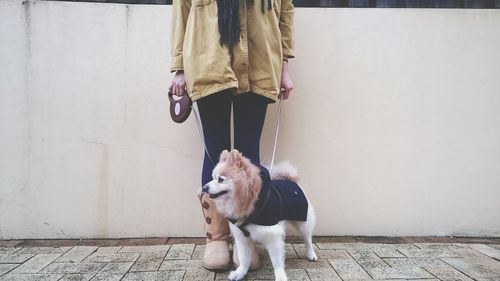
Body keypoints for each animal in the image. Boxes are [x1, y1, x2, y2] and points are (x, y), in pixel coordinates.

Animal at [200, 149, 314, 280]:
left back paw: (311, 254)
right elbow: (244, 258)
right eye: (212, 178)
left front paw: (280, 276)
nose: (204, 187)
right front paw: (240, 272)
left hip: (303, 222)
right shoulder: (242, 237)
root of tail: (291, 180)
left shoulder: (272, 236)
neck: (251, 204)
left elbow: (277, 261)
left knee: (308, 238)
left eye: (220, 179)